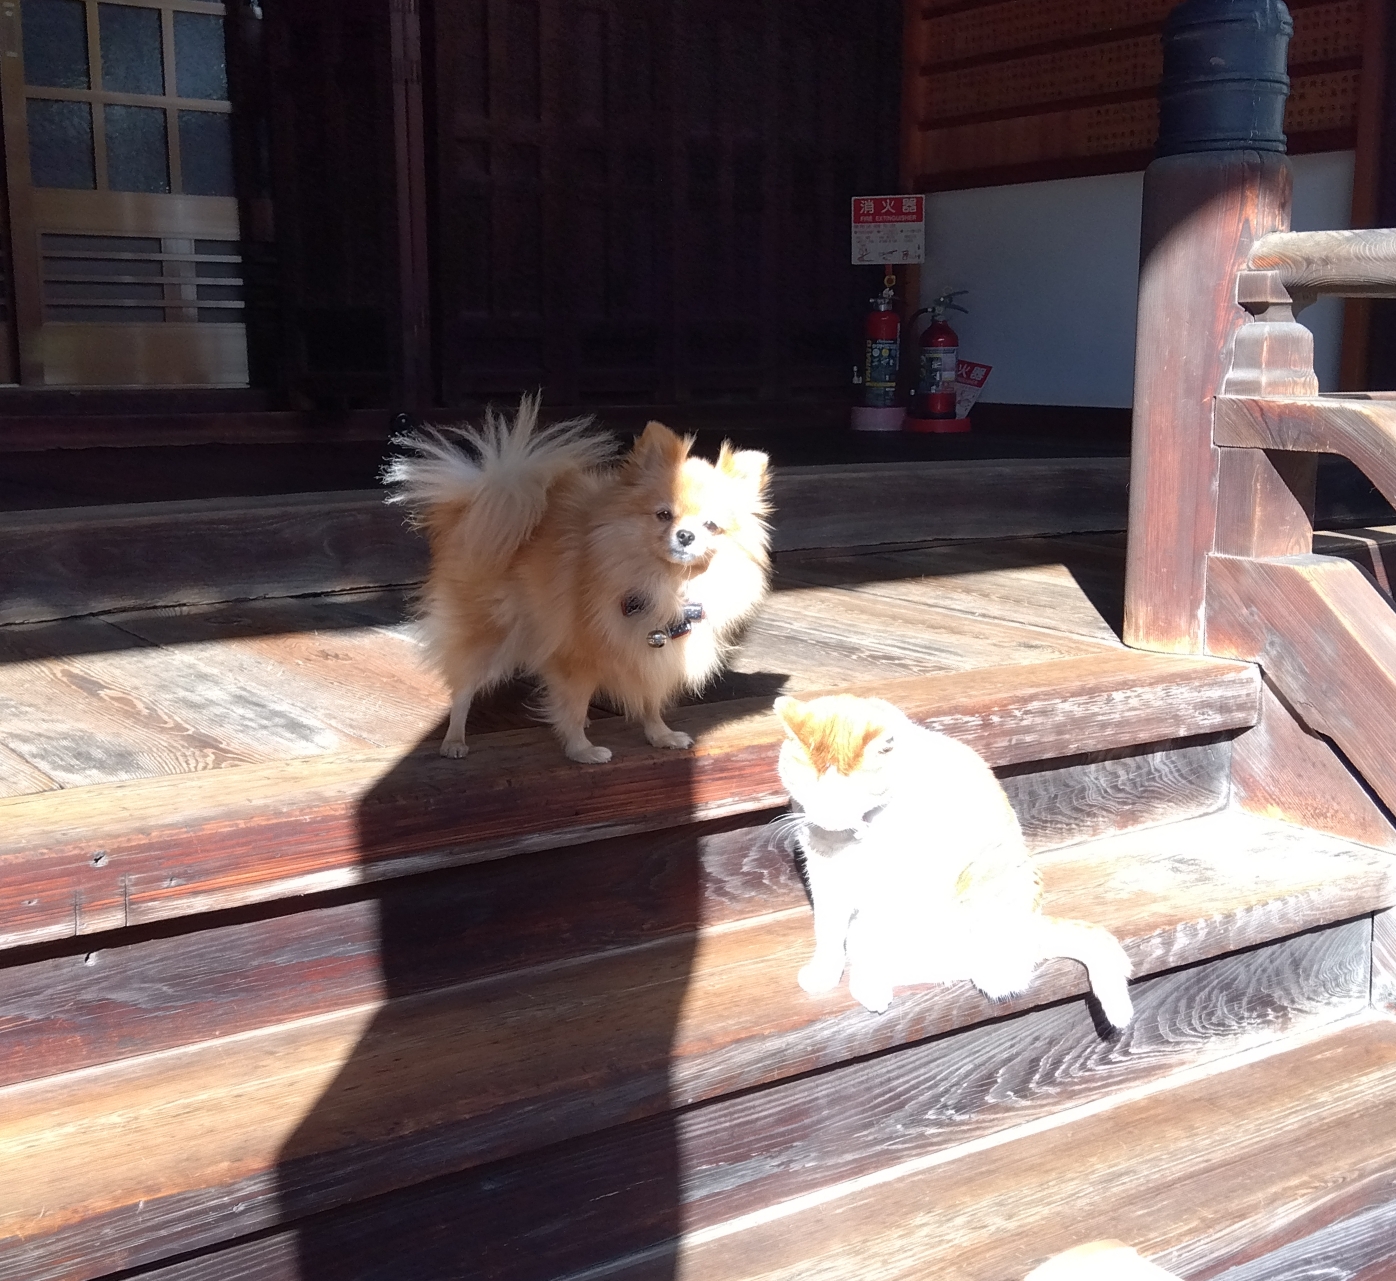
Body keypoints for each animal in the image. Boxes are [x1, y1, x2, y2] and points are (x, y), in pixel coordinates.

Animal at [384, 395, 771, 763]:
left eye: (711, 526)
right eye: (664, 515)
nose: (686, 535)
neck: (664, 583)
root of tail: (478, 503)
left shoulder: (652, 653)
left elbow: (649, 699)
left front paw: (660, 735)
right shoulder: (576, 657)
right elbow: (572, 703)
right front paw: (580, 750)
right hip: (487, 634)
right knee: (463, 688)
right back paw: (454, 740)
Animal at [773, 693, 1134, 1028]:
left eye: (851, 795)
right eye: (810, 790)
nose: (827, 817)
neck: (847, 839)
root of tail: (1035, 927)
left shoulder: (892, 886)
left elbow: (875, 940)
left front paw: (869, 981)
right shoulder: (824, 877)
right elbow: (827, 931)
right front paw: (825, 973)